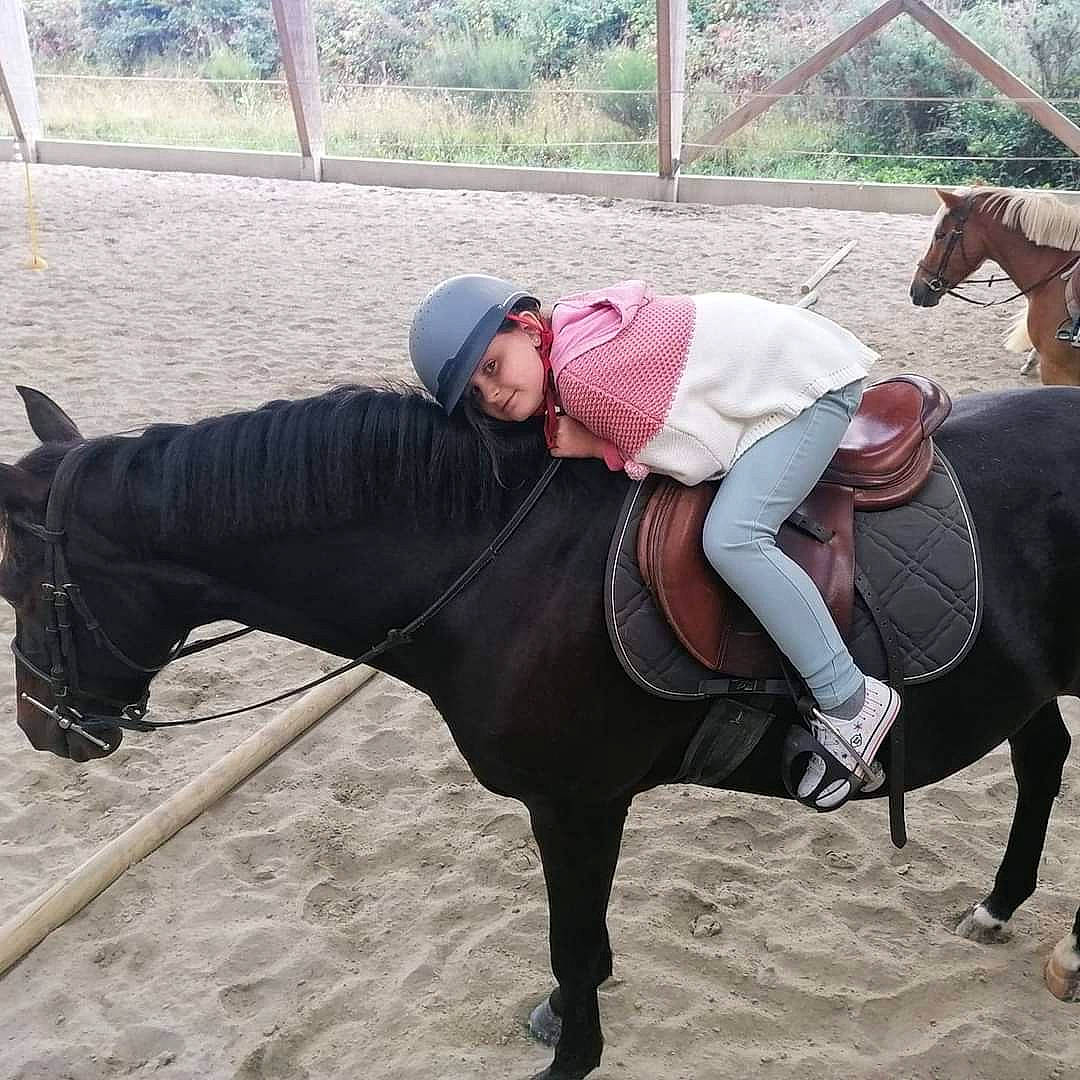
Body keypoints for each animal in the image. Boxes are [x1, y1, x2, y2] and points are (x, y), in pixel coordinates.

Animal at [2, 382, 1080, 1080]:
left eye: (15, 582)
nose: (42, 727)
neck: (501, 562)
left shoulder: (575, 804)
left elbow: (571, 941)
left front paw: (575, 1051)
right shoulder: (581, 810)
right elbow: (584, 945)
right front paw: (569, 1016)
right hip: (1026, 684)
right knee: (1043, 762)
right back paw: (999, 904)